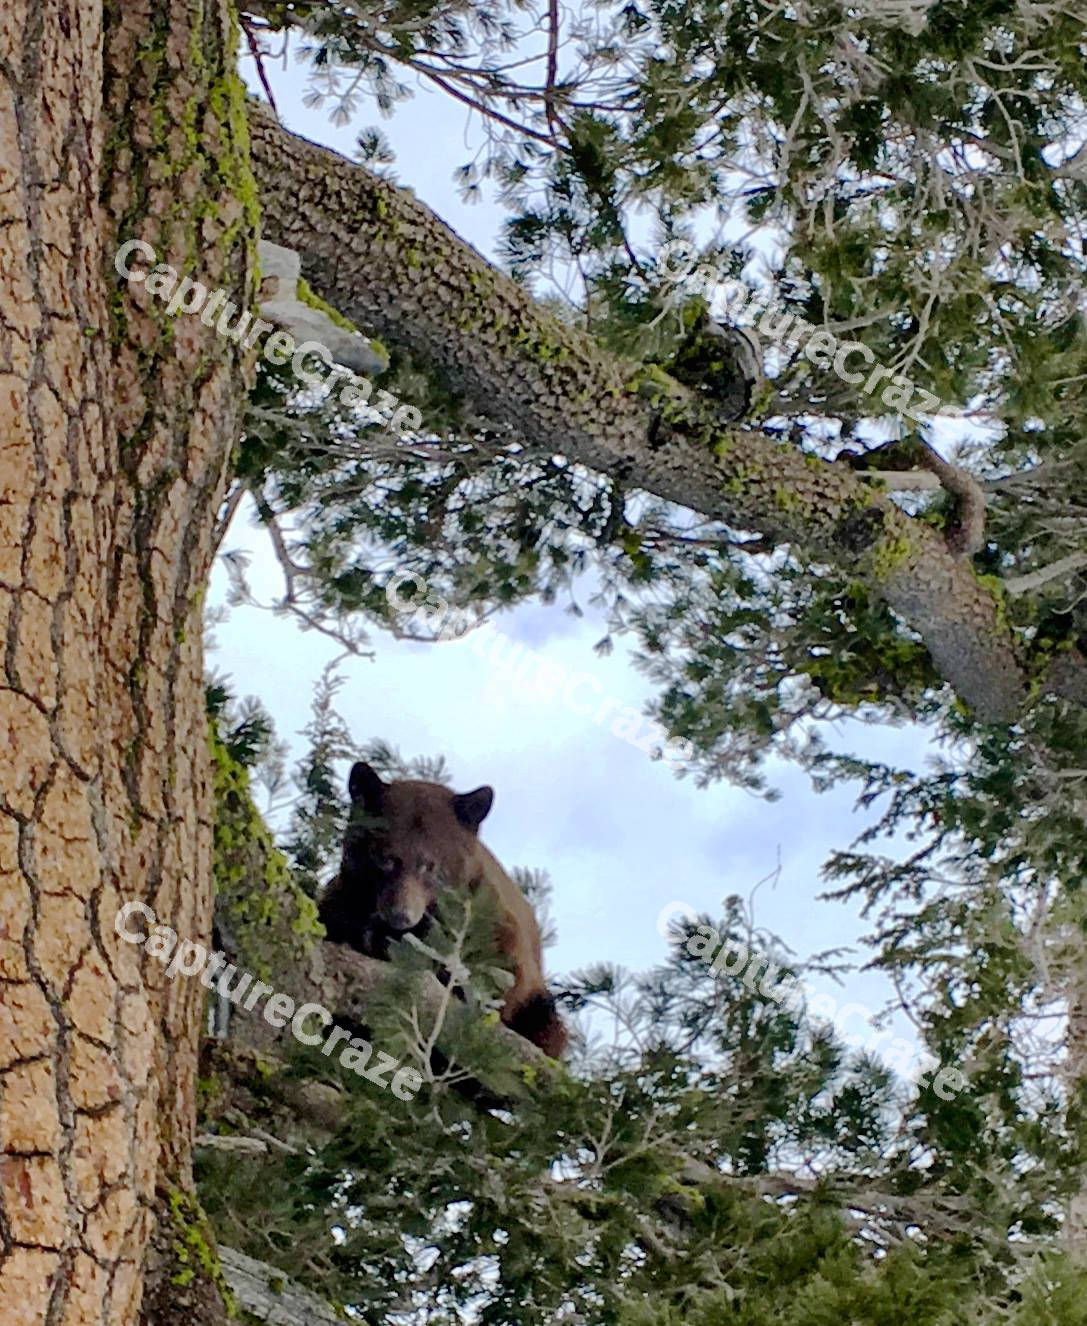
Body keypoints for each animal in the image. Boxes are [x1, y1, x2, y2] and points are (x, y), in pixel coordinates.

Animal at [318, 761, 567, 1059]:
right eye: (385, 859)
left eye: (429, 865)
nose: (401, 915)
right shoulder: (344, 897)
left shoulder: (490, 917)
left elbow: (505, 976)